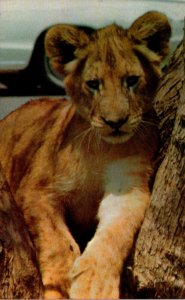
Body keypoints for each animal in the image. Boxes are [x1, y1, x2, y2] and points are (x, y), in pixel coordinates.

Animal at [0, 11, 171, 298]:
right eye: (93, 84)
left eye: (131, 80)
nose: (115, 122)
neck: (101, 148)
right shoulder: (37, 190)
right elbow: (58, 242)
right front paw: (59, 284)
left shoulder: (128, 189)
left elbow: (114, 236)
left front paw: (95, 286)